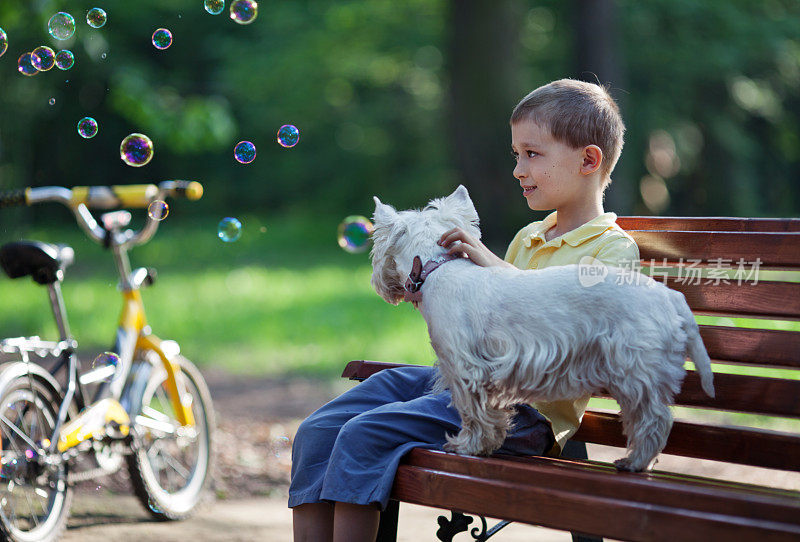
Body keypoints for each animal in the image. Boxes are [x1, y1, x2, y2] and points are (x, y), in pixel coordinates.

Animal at [372, 186, 716, 472]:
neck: (439, 268)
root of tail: (671, 297)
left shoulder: (465, 368)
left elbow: (474, 413)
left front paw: (469, 446)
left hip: (636, 368)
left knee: (654, 419)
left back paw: (633, 462)